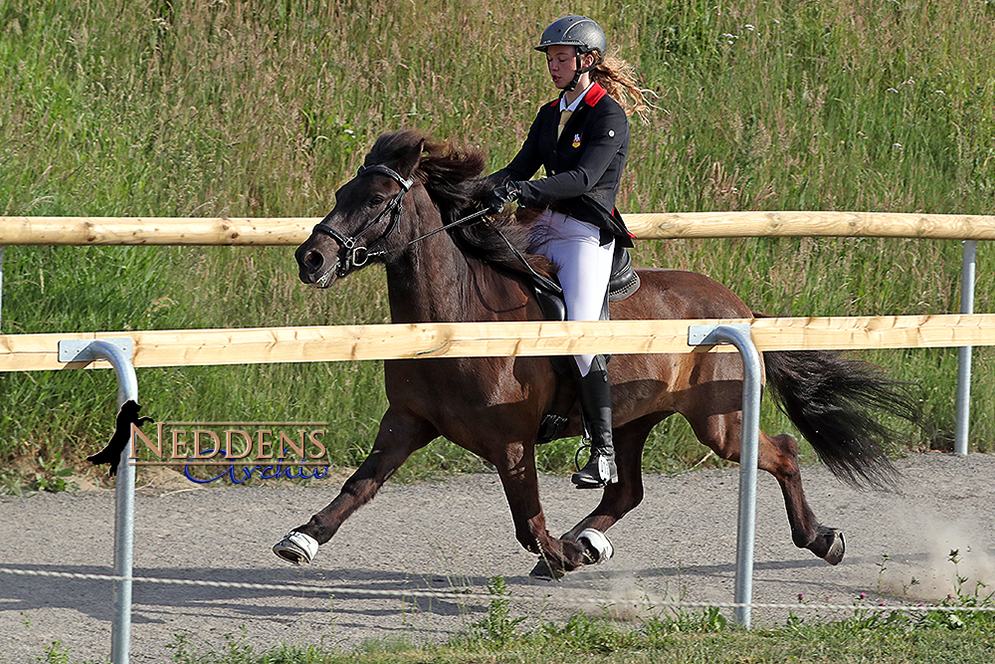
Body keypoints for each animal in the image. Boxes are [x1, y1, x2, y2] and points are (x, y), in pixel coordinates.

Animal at [276, 130, 924, 580]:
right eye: (344, 192)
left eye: (377, 199)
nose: (311, 258)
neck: (456, 322)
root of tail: (736, 305)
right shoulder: (408, 421)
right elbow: (359, 486)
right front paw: (302, 538)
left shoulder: (511, 442)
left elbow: (527, 520)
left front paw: (557, 553)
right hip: (635, 419)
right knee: (625, 490)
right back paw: (588, 540)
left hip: (719, 422)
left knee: (783, 452)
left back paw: (822, 539)